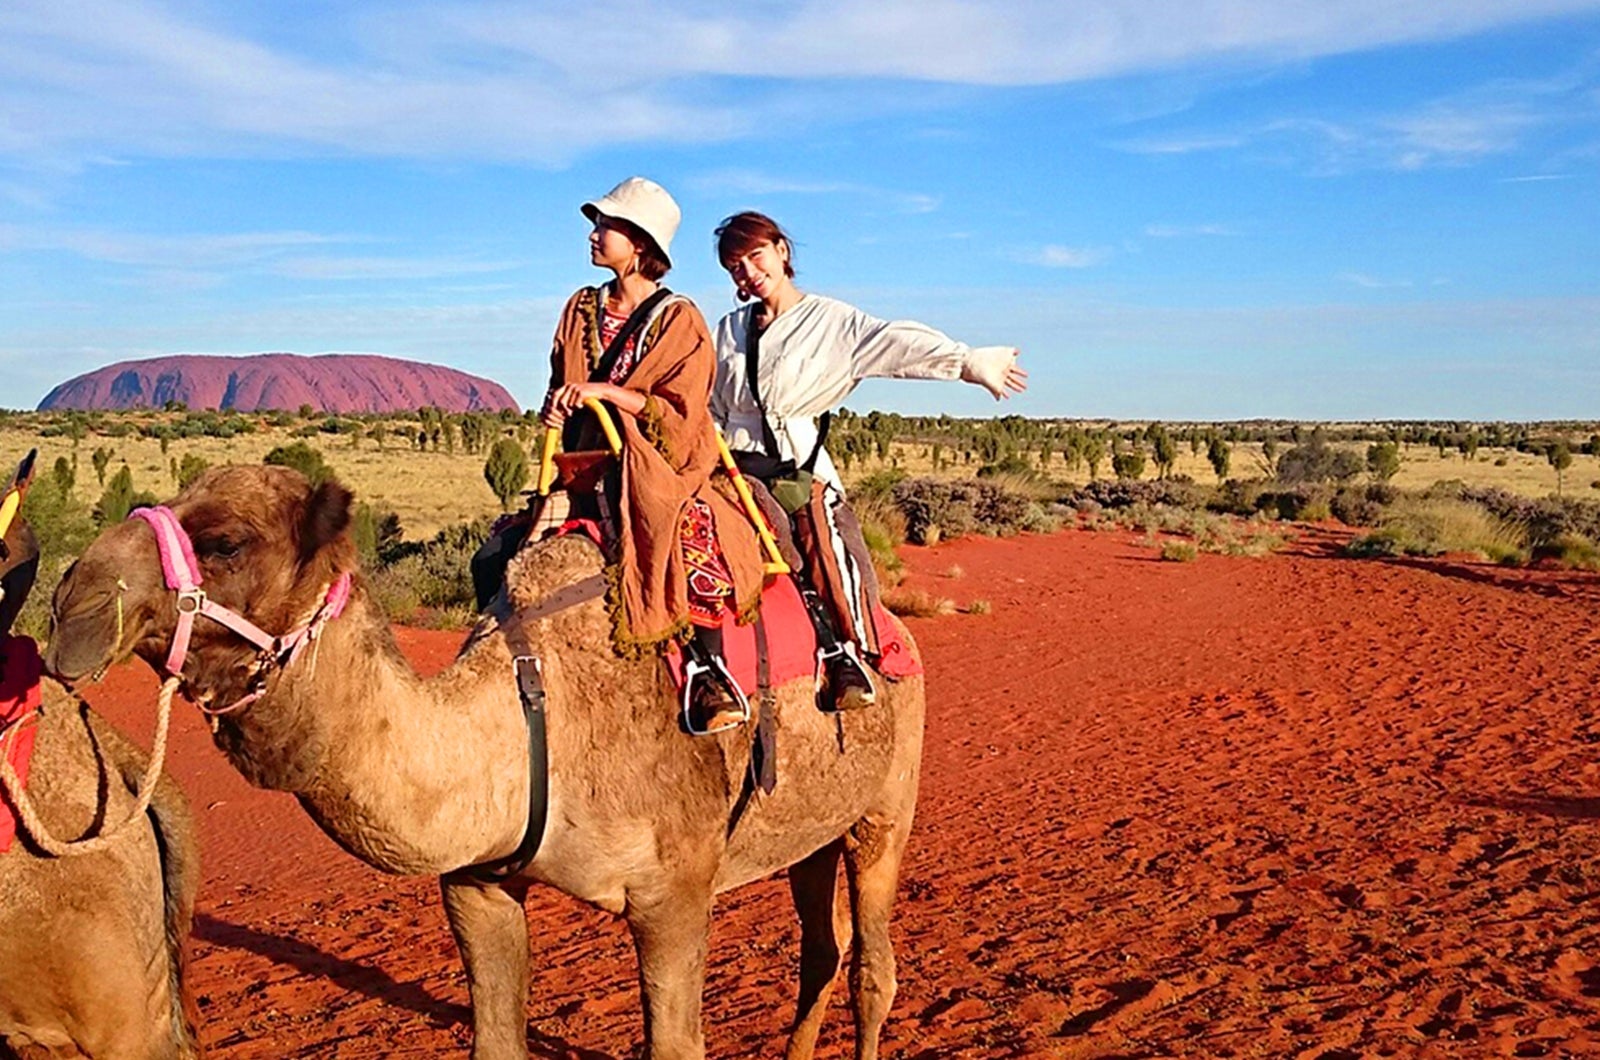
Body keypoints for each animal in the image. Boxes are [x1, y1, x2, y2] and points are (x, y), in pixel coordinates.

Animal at [46, 467, 928, 1060]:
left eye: (226, 541)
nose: (69, 602)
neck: (532, 720)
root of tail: (894, 629)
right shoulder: (477, 883)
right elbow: (495, 1040)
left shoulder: (673, 892)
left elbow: (676, 1043)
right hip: (811, 829)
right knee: (822, 948)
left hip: (888, 802)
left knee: (872, 966)